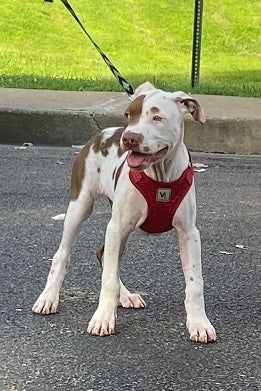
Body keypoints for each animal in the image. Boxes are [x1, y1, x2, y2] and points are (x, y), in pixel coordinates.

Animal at [32, 82, 215, 344]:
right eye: (129, 115)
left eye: (157, 117)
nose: (129, 138)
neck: (160, 177)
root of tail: (101, 134)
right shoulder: (116, 226)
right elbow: (108, 279)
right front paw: (102, 319)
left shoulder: (189, 232)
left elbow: (194, 282)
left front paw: (199, 323)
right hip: (80, 207)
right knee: (63, 254)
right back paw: (48, 298)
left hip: (121, 228)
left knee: (104, 254)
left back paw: (126, 296)